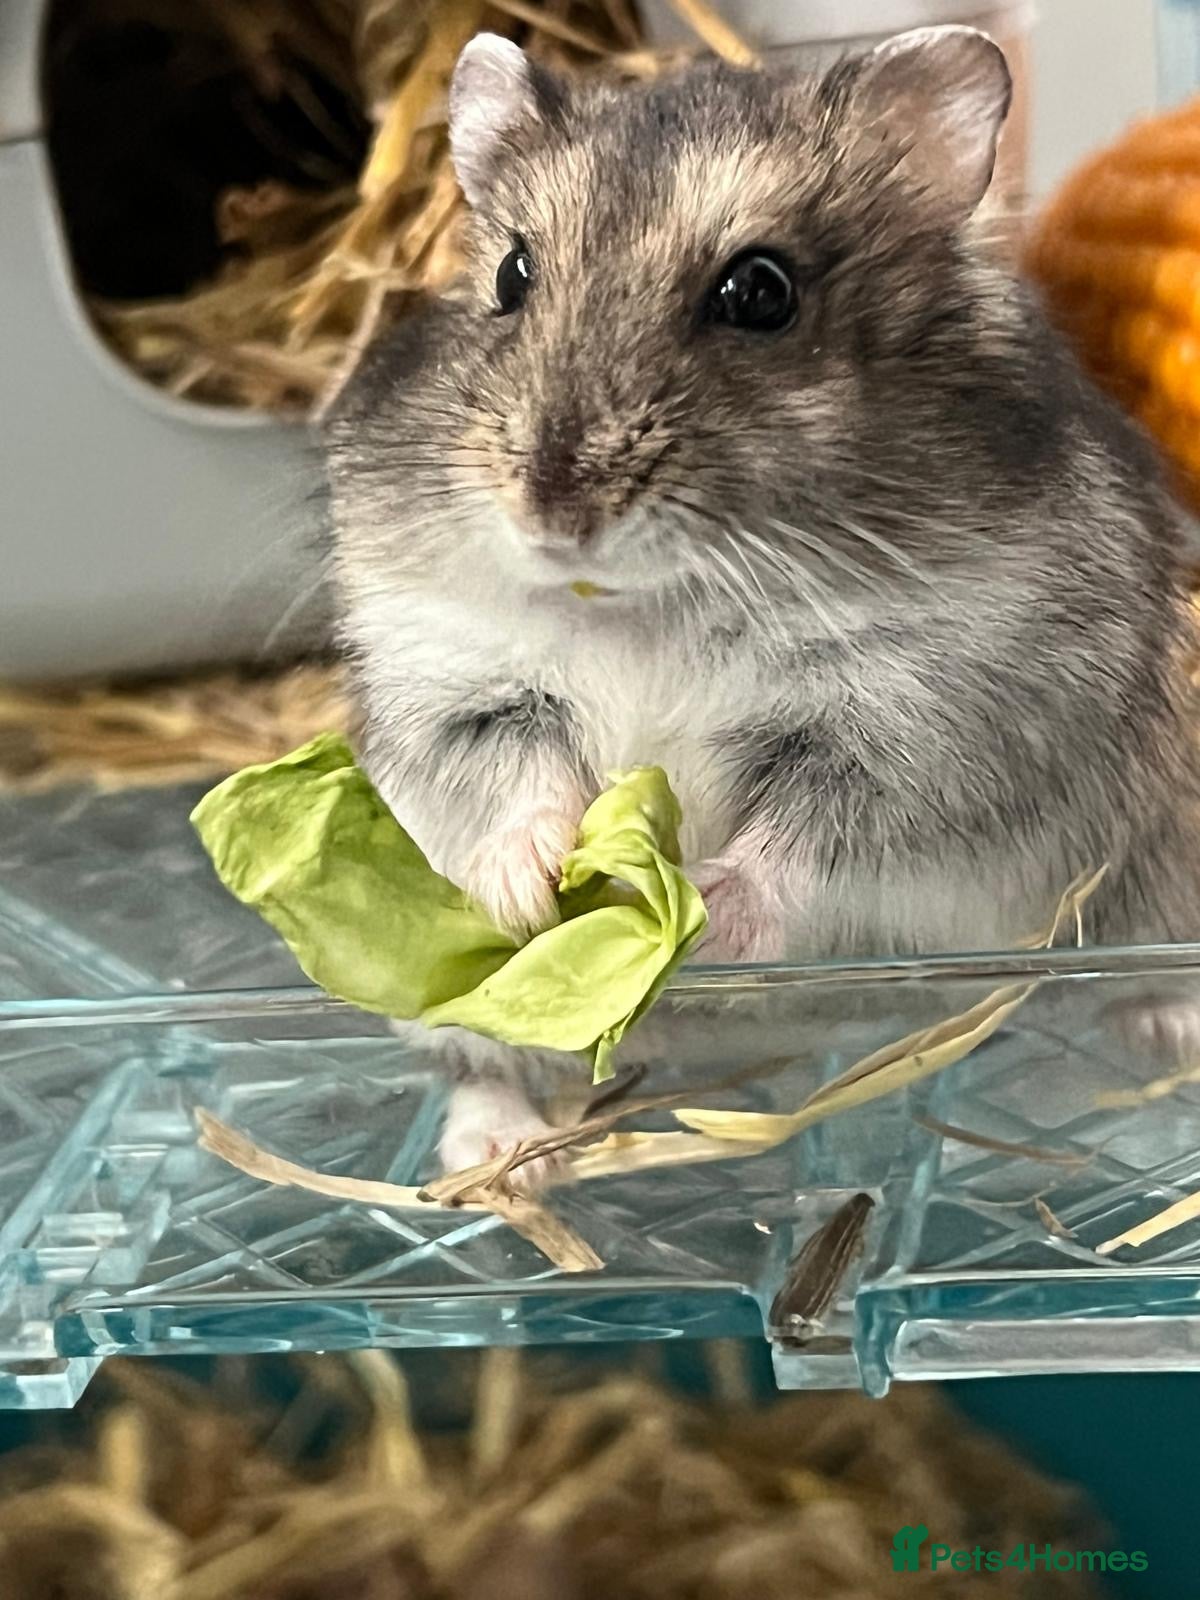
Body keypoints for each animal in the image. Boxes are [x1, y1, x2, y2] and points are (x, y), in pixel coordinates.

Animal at [322, 27, 1200, 1178]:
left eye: (759, 293)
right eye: (513, 275)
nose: (552, 508)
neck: (647, 604)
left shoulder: (933, 738)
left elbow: (809, 840)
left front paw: (708, 912)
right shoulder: (454, 685)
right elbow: (510, 778)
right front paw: (526, 890)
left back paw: (1166, 1022)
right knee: (480, 1063)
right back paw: (500, 1156)